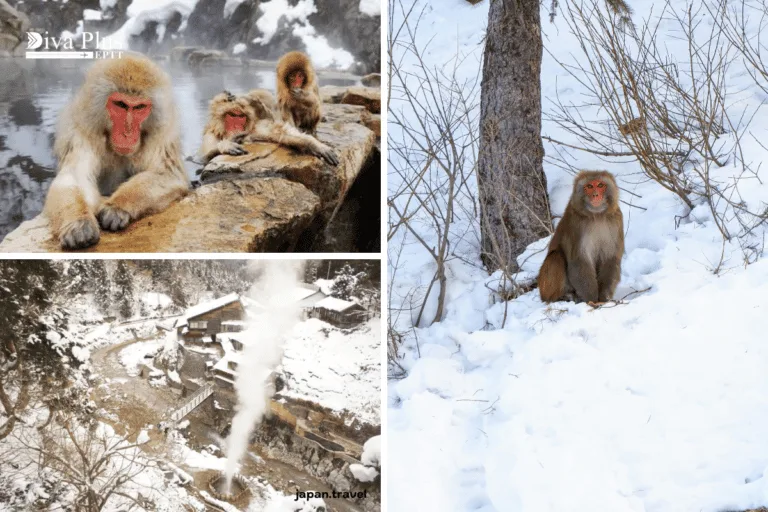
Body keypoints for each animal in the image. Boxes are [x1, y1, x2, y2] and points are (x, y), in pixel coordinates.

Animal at [43, 53, 190, 250]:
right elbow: (74, 176)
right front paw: (78, 223)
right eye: (120, 104)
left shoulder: (163, 134)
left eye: (139, 107)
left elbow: (168, 174)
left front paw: (117, 206)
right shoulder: (80, 131)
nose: (127, 133)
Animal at [198, 90, 339, 166]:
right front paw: (227, 144)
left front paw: (315, 145)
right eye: (232, 116)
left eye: (240, 117)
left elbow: (282, 134)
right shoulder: (210, 136)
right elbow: (201, 159)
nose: (237, 126)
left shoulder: (254, 129)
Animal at [538, 170, 624, 304]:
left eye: (600, 185)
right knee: (556, 257)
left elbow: (610, 258)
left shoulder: (616, 220)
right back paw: (559, 297)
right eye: (589, 186)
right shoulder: (576, 225)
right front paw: (592, 300)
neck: (597, 216)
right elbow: (579, 260)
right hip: (545, 288)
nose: (595, 195)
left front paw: (604, 298)